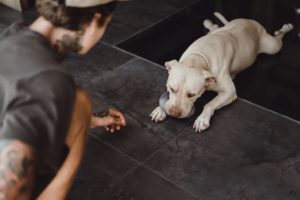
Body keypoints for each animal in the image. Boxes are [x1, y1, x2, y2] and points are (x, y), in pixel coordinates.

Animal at [150, 11, 292, 133]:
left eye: (191, 95)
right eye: (171, 89)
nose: (174, 113)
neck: (198, 58)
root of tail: (249, 20)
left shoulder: (229, 92)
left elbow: (209, 104)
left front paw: (202, 119)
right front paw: (160, 110)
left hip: (272, 47)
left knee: (279, 38)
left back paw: (285, 28)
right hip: (223, 28)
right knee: (216, 27)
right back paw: (209, 23)